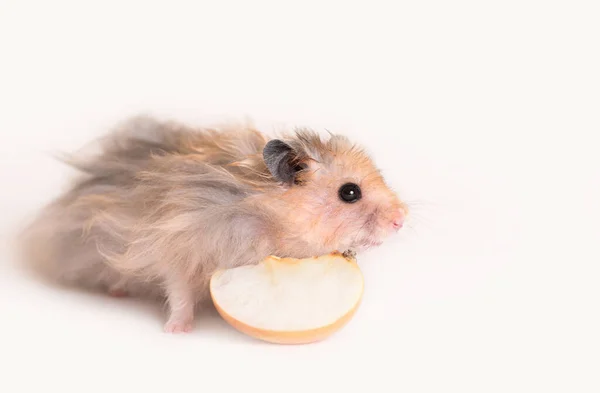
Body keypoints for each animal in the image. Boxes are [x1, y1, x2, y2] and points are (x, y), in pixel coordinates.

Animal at [19, 115, 408, 332]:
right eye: (350, 192)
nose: (401, 220)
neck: (268, 217)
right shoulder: (177, 250)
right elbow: (178, 293)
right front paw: (177, 330)